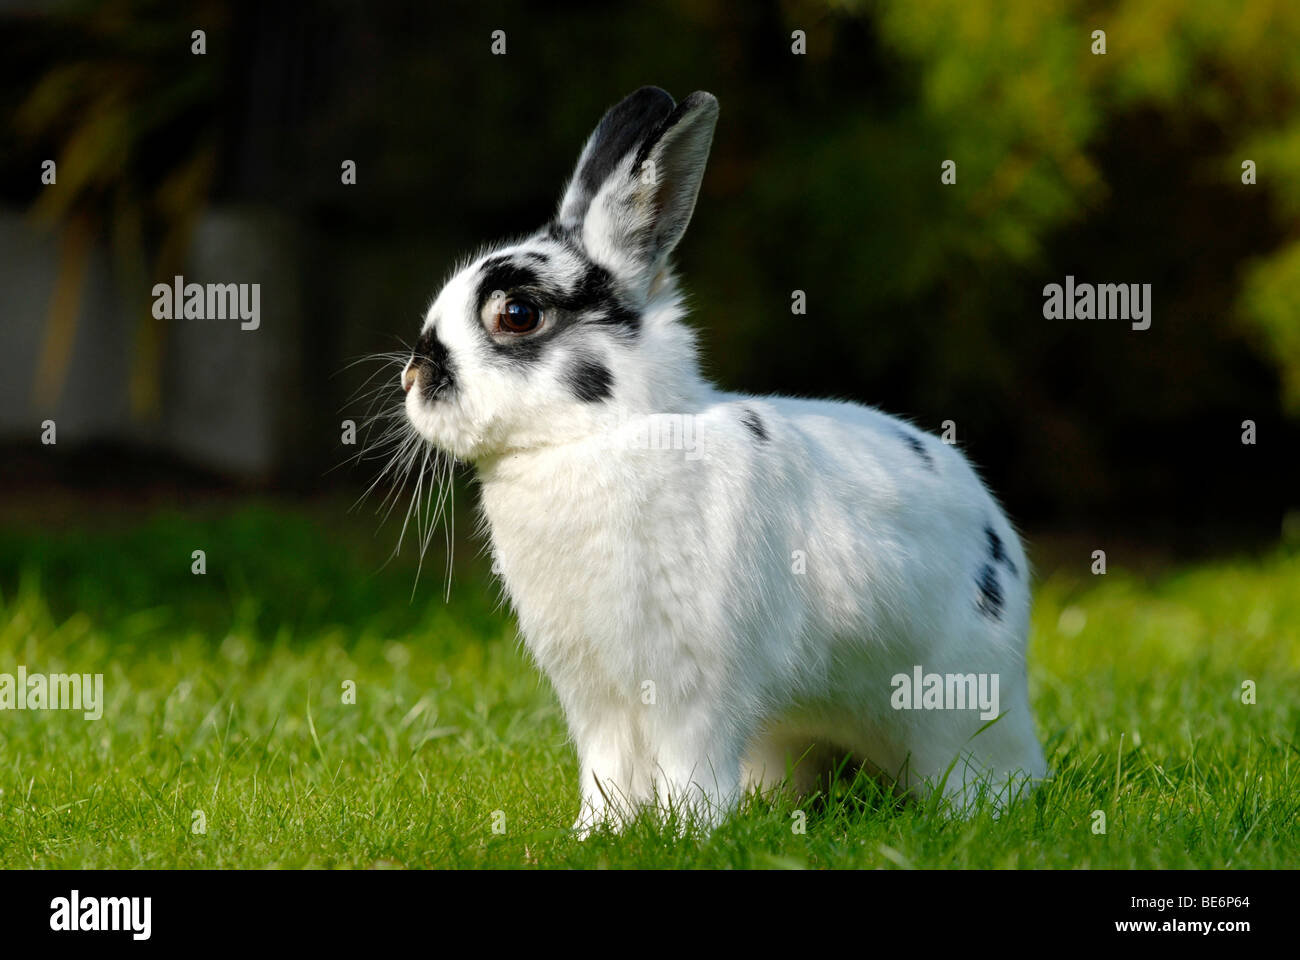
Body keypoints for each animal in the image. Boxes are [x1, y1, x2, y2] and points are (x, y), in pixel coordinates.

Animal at [399, 86, 1047, 834]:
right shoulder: (598, 697)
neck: (605, 435)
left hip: (960, 704)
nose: (414, 376)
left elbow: (689, 761)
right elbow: (606, 770)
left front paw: (687, 831)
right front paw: (599, 833)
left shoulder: (695, 685)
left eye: (517, 313)